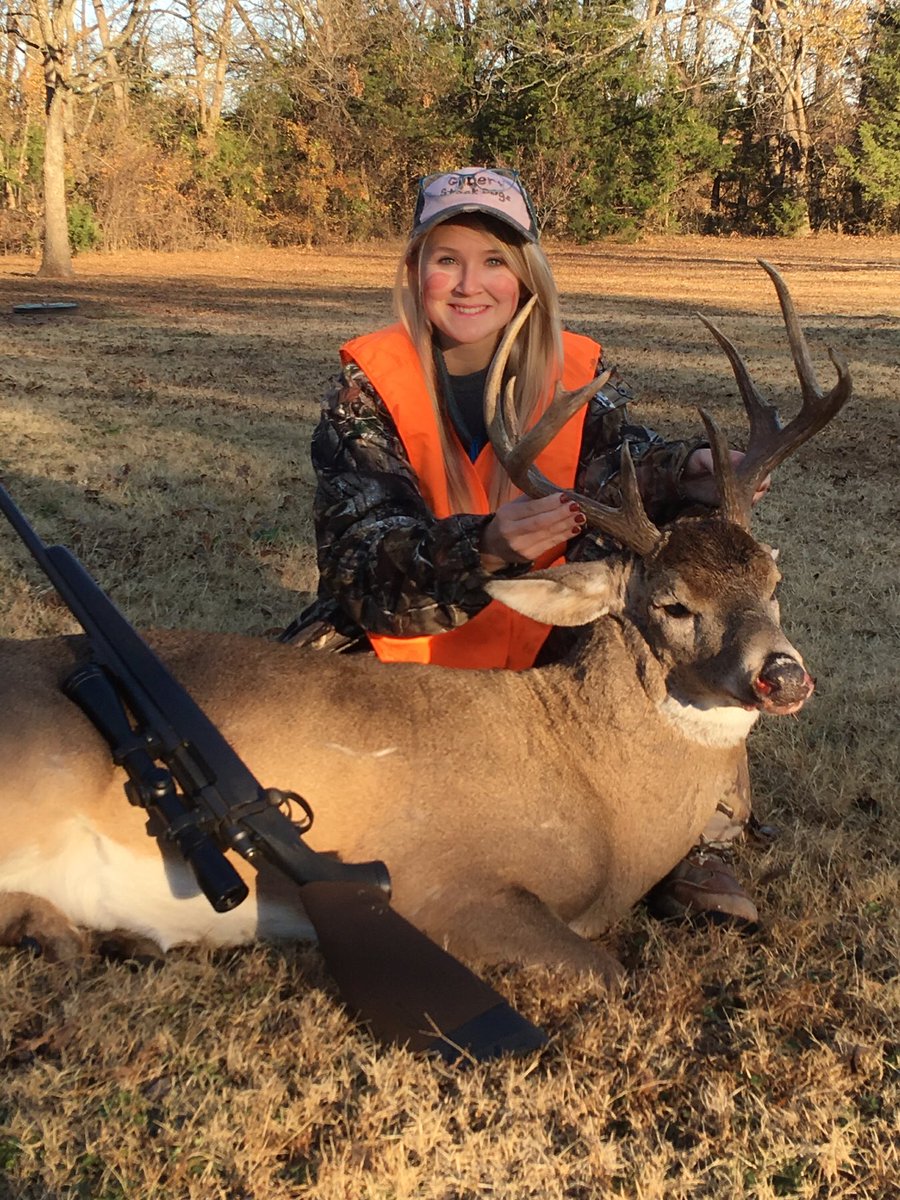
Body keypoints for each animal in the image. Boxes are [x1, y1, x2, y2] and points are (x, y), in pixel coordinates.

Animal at [0, 263, 850, 990]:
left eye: (774, 583)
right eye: (673, 603)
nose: (783, 674)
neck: (599, 794)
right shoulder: (436, 881)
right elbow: (611, 972)